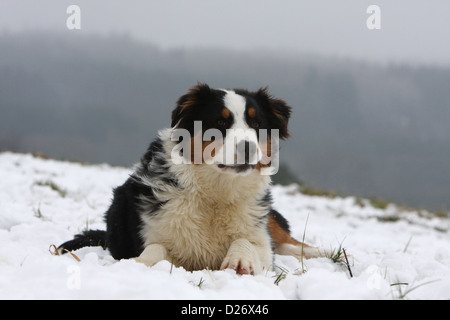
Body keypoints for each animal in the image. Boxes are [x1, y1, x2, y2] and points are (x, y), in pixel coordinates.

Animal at [59, 83, 326, 276]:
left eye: (256, 123)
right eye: (220, 122)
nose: (248, 147)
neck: (215, 195)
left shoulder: (261, 240)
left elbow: (248, 241)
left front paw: (239, 259)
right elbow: (155, 249)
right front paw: (140, 263)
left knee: (294, 244)